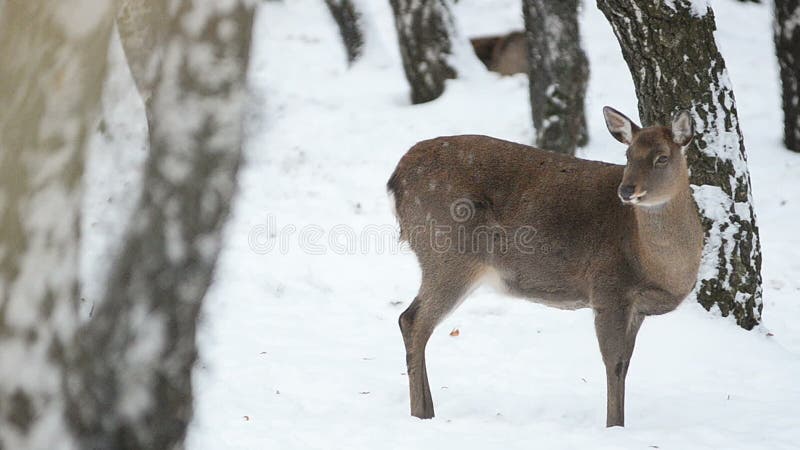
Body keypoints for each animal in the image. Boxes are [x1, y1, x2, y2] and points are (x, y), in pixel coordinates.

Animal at [388, 107, 708, 428]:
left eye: (662, 157)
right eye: (628, 155)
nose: (627, 190)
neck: (655, 264)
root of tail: (395, 180)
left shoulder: (636, 307)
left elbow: (626, 364)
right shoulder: (608, 288)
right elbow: (613, 362)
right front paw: (614, 426)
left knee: (411, 320)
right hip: (447, 253)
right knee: (413, 320)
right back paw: (421, 412)